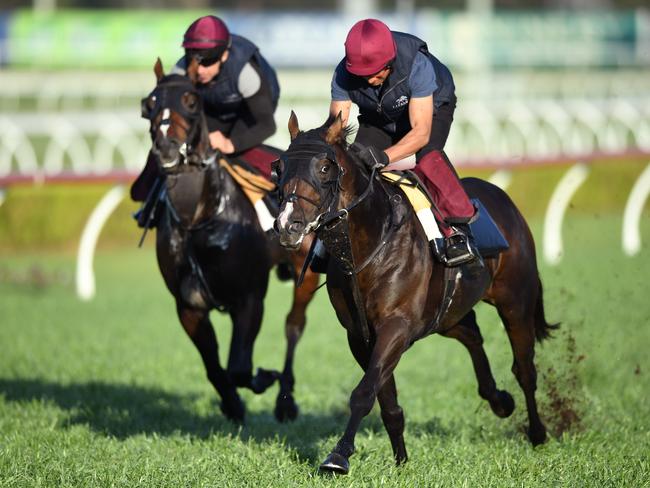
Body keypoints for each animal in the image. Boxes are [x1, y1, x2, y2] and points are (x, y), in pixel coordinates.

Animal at [140, 59, 318, 422]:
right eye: (149, 104)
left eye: (191, 101)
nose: (166, 147)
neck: (199, 219)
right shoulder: (188, 305)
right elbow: (216, 368)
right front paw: (232, 403)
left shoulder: (249, 298)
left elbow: (239, 367)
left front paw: (265, 378)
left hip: (304, 272)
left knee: (294, 324)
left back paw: (286, 399)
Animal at [274, 113, 556, 472]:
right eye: (279, 167)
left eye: (324, 167)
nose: (287, 225)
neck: (369, 247)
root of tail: (505, 200)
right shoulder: (360, 334)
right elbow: (385, 399)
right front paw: (401, 460)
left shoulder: (397, 326)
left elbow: (363, 393)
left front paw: (338, 456)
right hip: (447, 313)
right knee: (472, 333)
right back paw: (499, 400)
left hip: (515, 302)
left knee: (524, 369)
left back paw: (537, 432)